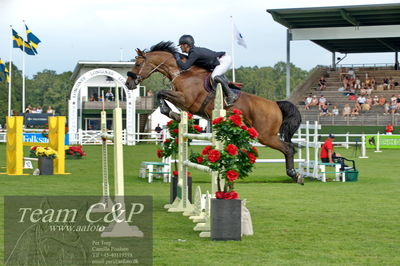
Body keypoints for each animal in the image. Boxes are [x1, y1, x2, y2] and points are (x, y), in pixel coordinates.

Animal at [126, 41, 304, 185]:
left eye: (137, 64)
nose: (128, 84)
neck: (183, 73)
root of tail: (275, 104)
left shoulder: (186, 100)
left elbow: (160, 93)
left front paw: (172, 113)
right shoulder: (182, 101)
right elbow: (162, 95)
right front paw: (174, 114)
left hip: (265, 135)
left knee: (288, 148)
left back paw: (295, 175)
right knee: (289, 147)